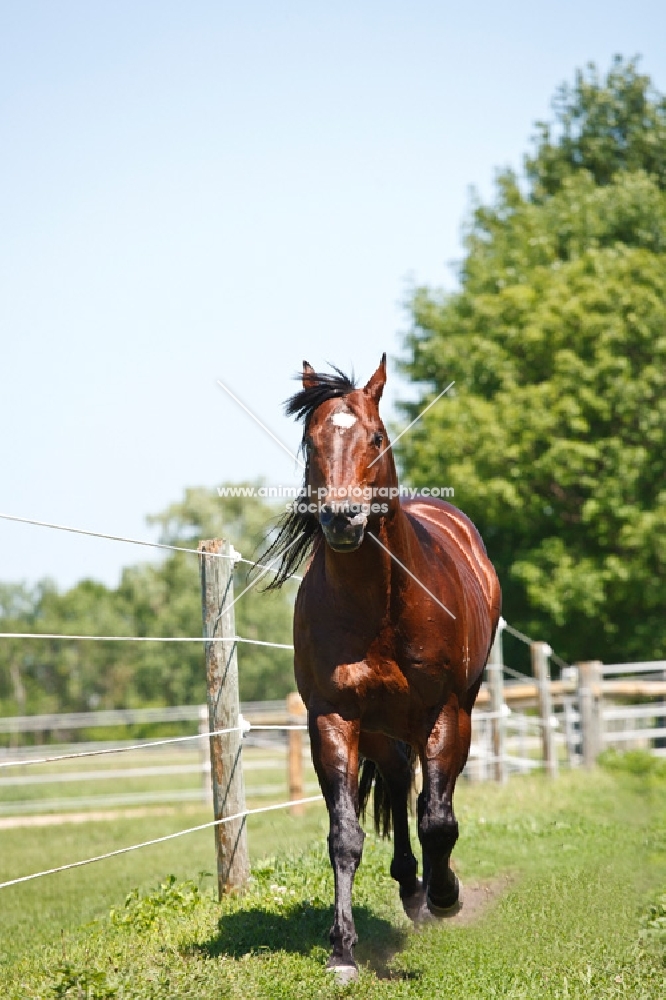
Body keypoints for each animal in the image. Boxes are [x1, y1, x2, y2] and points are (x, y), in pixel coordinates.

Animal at [264, 356, 498, 980]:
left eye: (374, 436)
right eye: (313, 442)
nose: (342, 519)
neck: (381, 607)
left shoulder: (444, 712)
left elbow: (438, 819)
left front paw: (447, 896)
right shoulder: (333, 718)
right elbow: (345, 835)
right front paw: (342, 950)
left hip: (445, 716)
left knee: (428, 803)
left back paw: (432, 892)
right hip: (384, 729)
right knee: (397, 786)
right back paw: (410, 888)